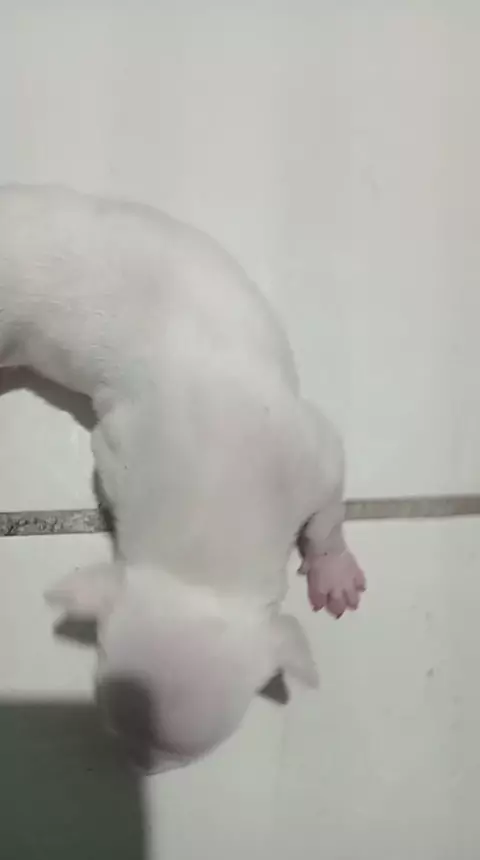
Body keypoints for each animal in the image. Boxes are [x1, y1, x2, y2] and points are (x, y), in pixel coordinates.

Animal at [0, 184, 365, 772]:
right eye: (111, 728)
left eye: (182, 762)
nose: (135, 772)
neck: (205, 553)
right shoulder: (116, 451)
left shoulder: (318, 454)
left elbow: (328, 518)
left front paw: (333, 568)